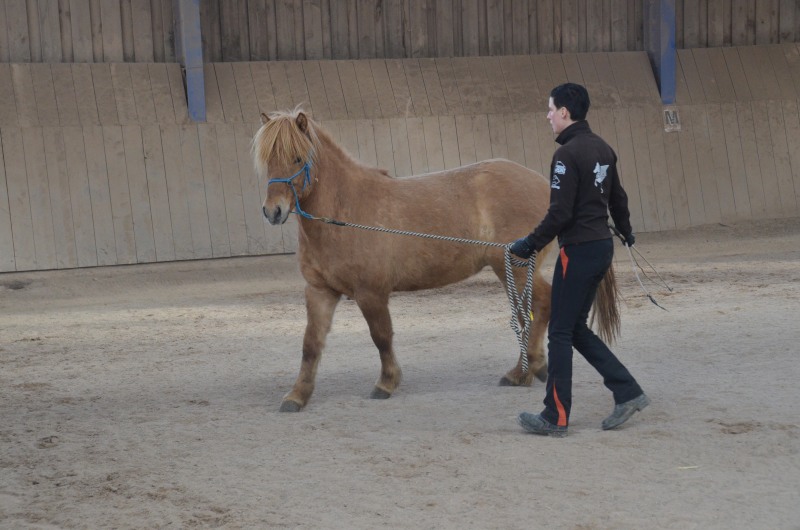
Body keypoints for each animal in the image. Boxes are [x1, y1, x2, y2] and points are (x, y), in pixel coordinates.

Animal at [252, 108, 619, 412]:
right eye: (268, 160)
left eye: (297, 157)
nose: (273, 212)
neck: (344, 213)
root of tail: (545, 185)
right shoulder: (320, 291)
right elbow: (311, 344)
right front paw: (297, 396)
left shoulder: (371, 293)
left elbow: (381, 336)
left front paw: (386, 383)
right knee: (528, 313)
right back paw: (525, 371)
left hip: (513, 268)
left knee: (540, 306)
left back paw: (528, 368)